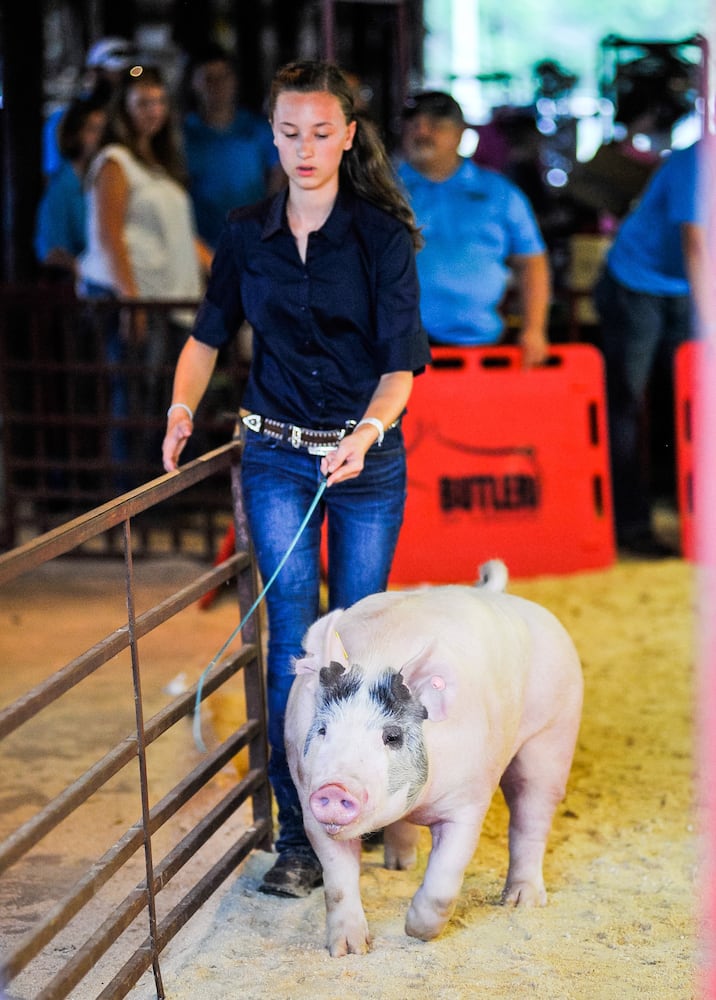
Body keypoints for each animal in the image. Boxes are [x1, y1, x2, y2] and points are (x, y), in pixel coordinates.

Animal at [284, 560, 580, 956]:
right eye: (322, 730)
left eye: (392, 736)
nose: (335, 787)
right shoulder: (307, 799)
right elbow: (338, 882)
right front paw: (349, 950)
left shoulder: (468, 801)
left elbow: (444, 879)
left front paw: (415, 931)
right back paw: (399, 866)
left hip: (553, 733)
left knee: (532, 814)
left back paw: (521, 902)